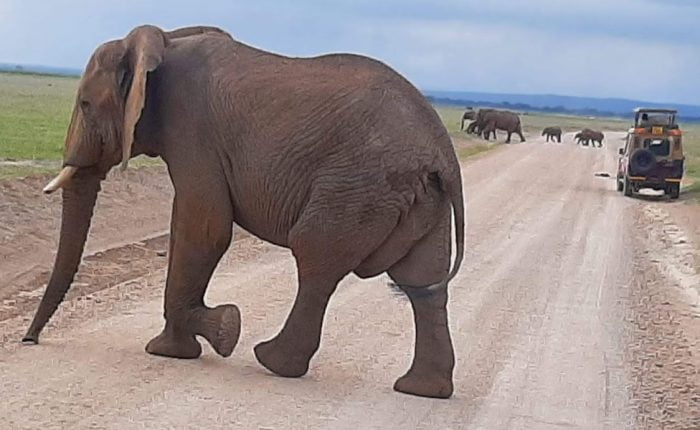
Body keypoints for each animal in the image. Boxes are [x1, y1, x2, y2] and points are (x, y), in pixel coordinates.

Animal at [21, 25, 466, 399]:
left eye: (85, 104)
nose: (29, 341)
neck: (164, 41)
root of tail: (443, 154)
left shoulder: (192, 131)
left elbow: (205, 227)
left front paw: (215, 333)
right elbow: (188, 226)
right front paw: (180, 345)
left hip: (357, 185)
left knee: (316, 259)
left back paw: (272, 361)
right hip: (419, 198)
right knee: (422, 283)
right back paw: (422, 390)